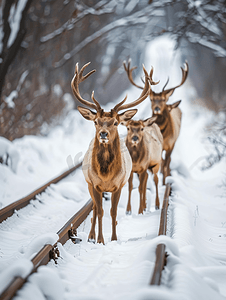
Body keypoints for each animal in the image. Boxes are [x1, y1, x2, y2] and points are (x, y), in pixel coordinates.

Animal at [70, 61, 152, 244]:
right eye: (96, 121)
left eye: (115, 122)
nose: (103, 134)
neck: (106, 174)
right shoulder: (95, 184)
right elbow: (100, 211)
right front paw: (100, 240)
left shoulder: (118, 185)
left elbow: (113, 211)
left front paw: (113, 238)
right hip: (88, 183)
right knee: (94, 208)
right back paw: (91, 236)